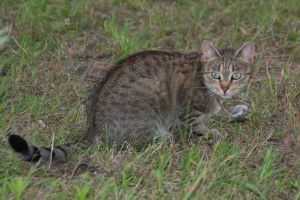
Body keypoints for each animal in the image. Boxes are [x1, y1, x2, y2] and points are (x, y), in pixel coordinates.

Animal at [8, 40, 254, 162]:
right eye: (215, 74)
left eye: (236, 75)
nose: (225, 87)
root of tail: (93, 128)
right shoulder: (186, 110)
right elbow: (197, 125)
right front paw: (212, 132)